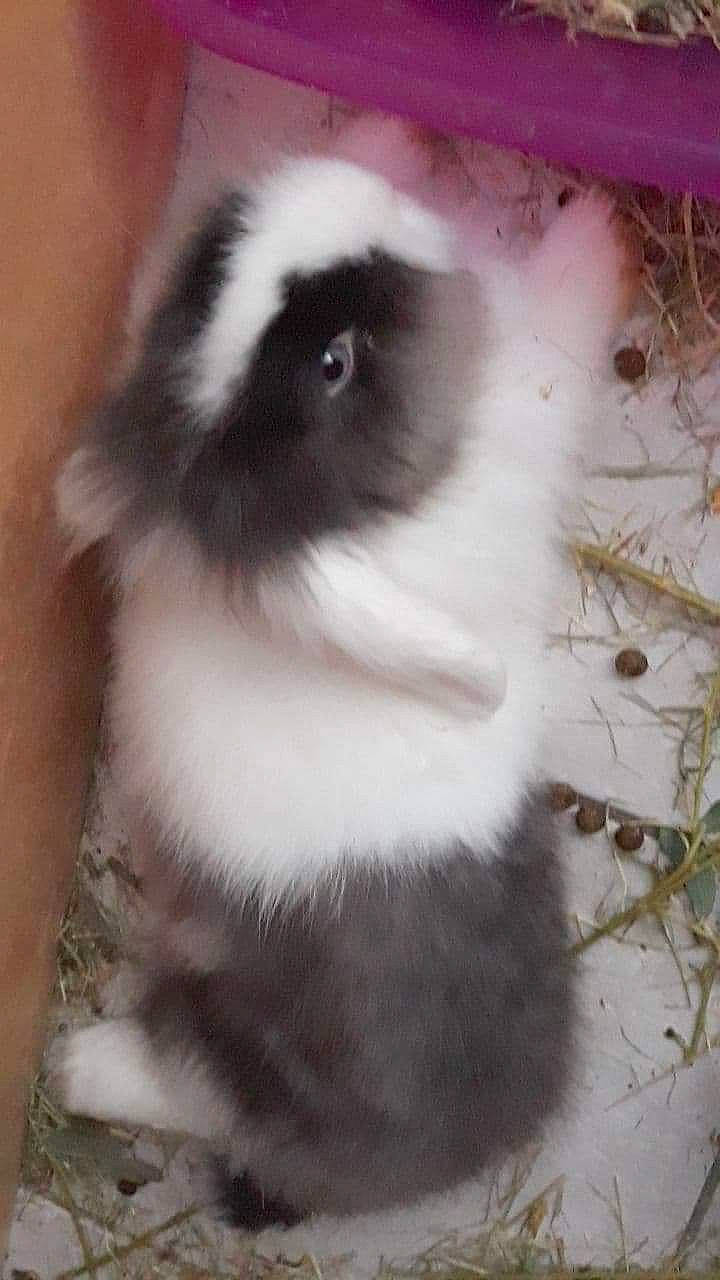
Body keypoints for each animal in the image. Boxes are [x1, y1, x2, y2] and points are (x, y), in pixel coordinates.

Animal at [51, 115, 639, 1227]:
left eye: (216, 260)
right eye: (335, 363)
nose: (361, 195)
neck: (343, 507)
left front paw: (393, 136)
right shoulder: (534, 393)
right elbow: (565, 303)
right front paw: (603, 221)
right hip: (242, 1060)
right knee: (194, 1090)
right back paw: (77, 1067)